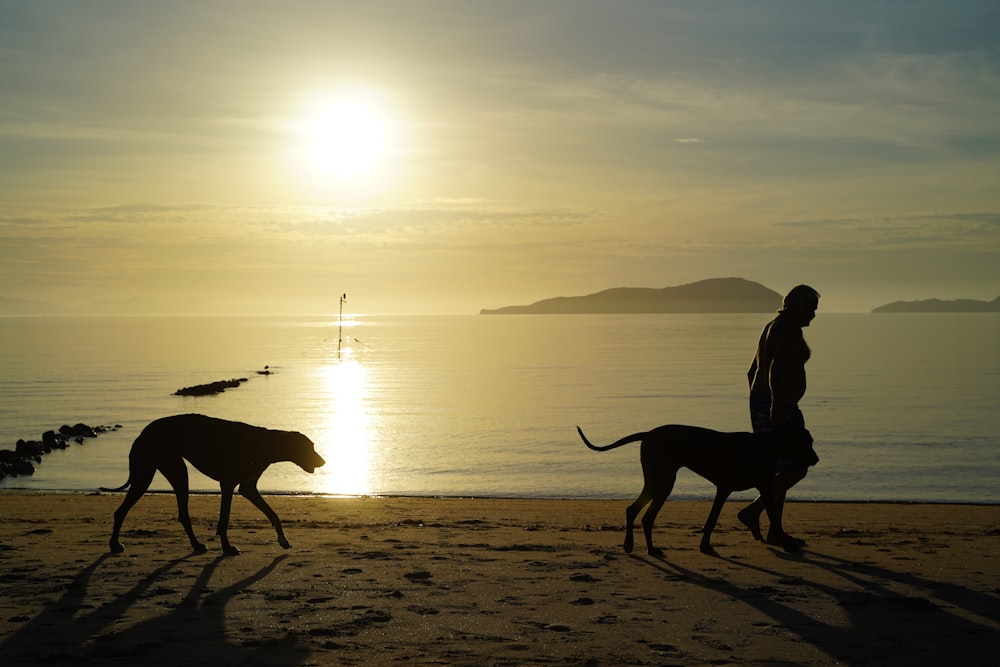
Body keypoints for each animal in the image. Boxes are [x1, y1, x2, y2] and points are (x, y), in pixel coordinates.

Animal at [100, 414, 324, 556]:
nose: (323, 462)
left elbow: (272, 514)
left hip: (165, 469)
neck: (266, 443)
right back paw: (114, 545)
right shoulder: (228, 484)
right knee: (123, 511)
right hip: (159, 472)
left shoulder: (248, 487)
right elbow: (224, 519)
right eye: (308, 447)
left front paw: (283, 540)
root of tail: (143, 433)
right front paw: (227, 548)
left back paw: (196, 545)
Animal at [584, 426, 816, 556]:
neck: (765, 446)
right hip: (663, 481)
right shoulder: (746, 488)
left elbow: (712, 519)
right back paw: (644, 547)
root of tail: (648, 434)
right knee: (644, 515)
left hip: (658, 481)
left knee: (636, 511)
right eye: (806, 443)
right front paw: (787, 545)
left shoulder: (736, 489)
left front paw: (705, 545)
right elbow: (774, 519)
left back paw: (639, 547)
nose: (816, 459)